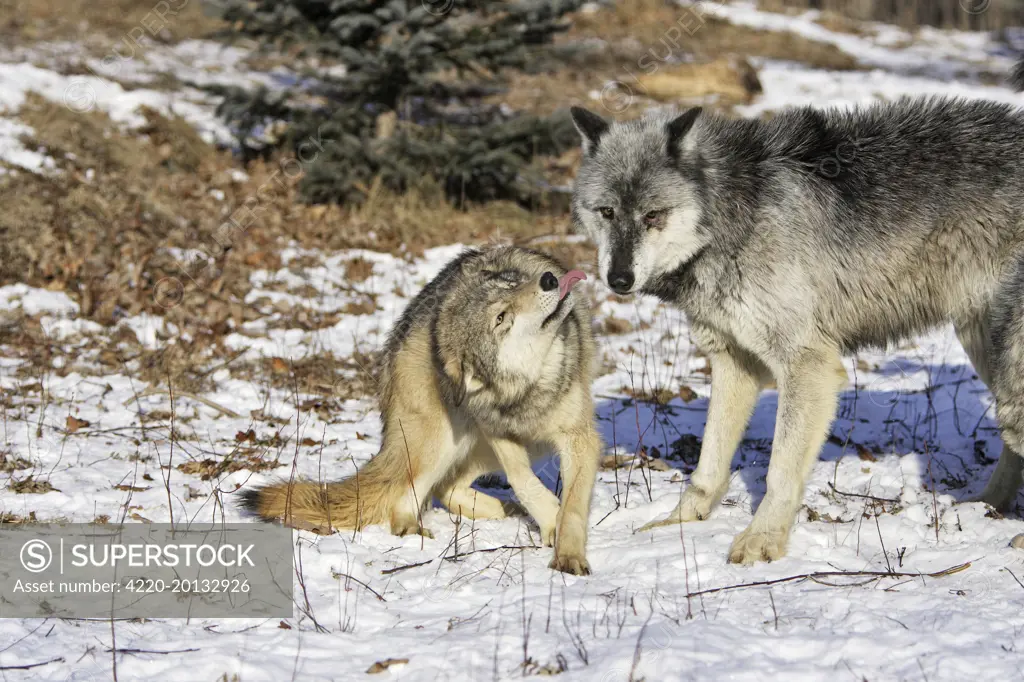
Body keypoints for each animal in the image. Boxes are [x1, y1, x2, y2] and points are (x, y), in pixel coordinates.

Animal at [241, 244, 598, 573]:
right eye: (501, 318)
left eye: (513, 282)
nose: (550, 279)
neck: (529, 389)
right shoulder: (496, 430)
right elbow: (523, 479)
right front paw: (554, 524)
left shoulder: (578, 437)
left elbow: (570, 506)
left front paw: (566, 550)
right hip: (443, 440)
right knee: (412, 491)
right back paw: (413, 530)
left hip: (484, 446)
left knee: (445, 485)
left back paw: (502, 510)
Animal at [573, 96, 1024, 561]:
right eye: (607, 212)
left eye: (653, 215)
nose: (618, 279)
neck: (735, 212)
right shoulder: (734, 363)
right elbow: (708, 463)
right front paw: (680, 523)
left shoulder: (808, 366)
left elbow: (779, 472)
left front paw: (762, 540)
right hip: (986, 348)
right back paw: (990, 503)